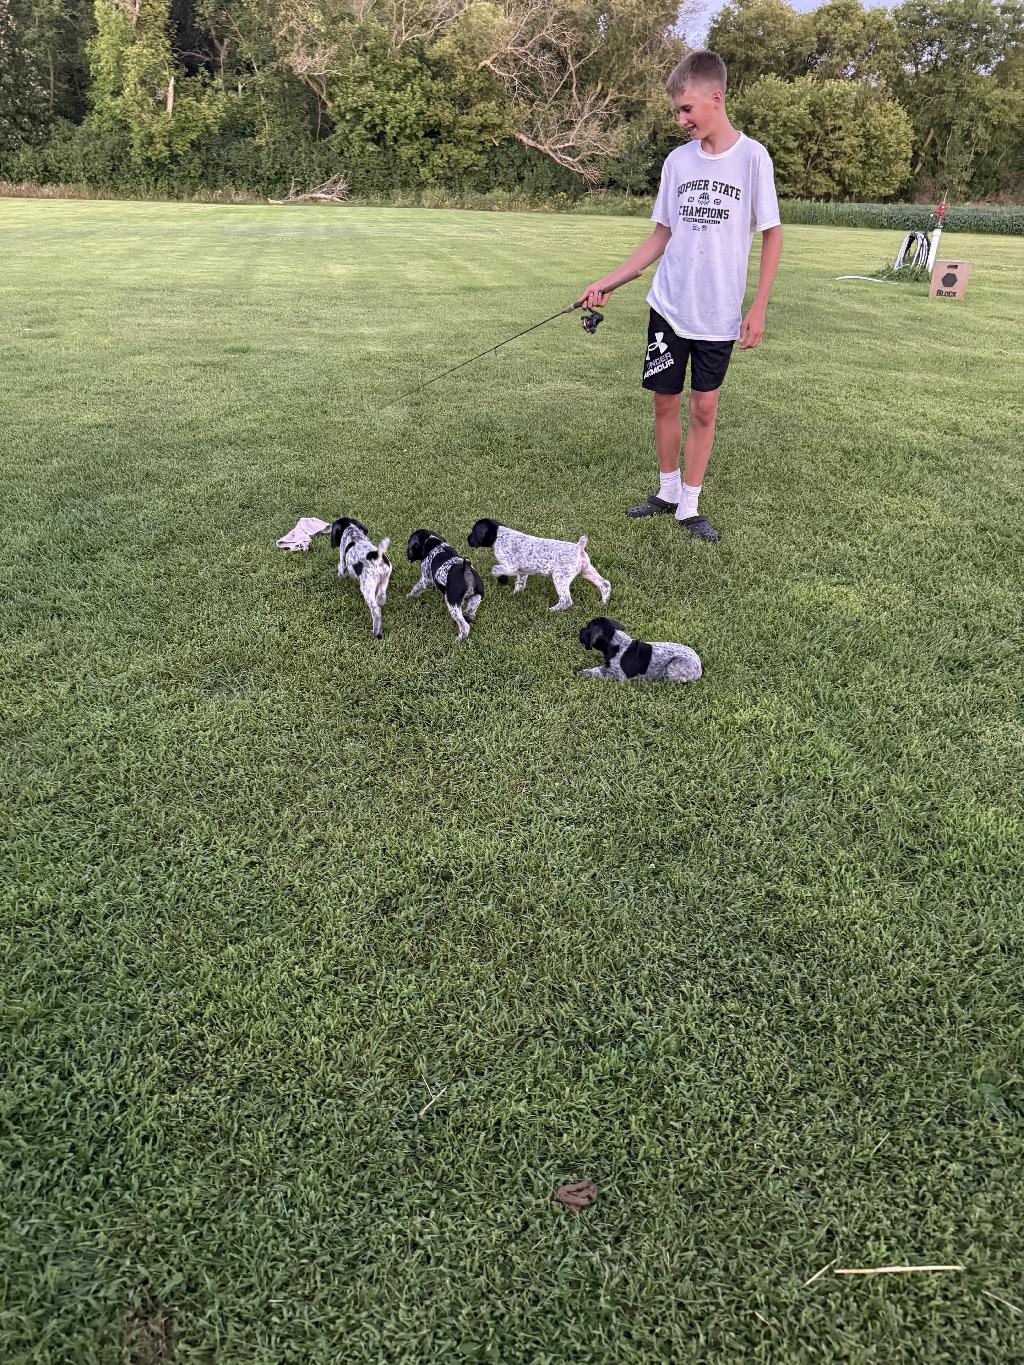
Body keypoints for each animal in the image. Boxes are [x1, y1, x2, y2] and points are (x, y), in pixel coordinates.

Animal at [467, 518, 611, 612]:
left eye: (473, 532)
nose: (467, 539)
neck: (499, 535)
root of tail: (578, 548)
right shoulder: (522, 572)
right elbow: (520, 585)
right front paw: (515, 595)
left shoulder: (511, 567)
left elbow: (495, 569)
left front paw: (501, 579)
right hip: (587, 571)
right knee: (605, 584)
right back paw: (603, 603)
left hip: (560, 577)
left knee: (566, 600)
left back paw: (552, 610)